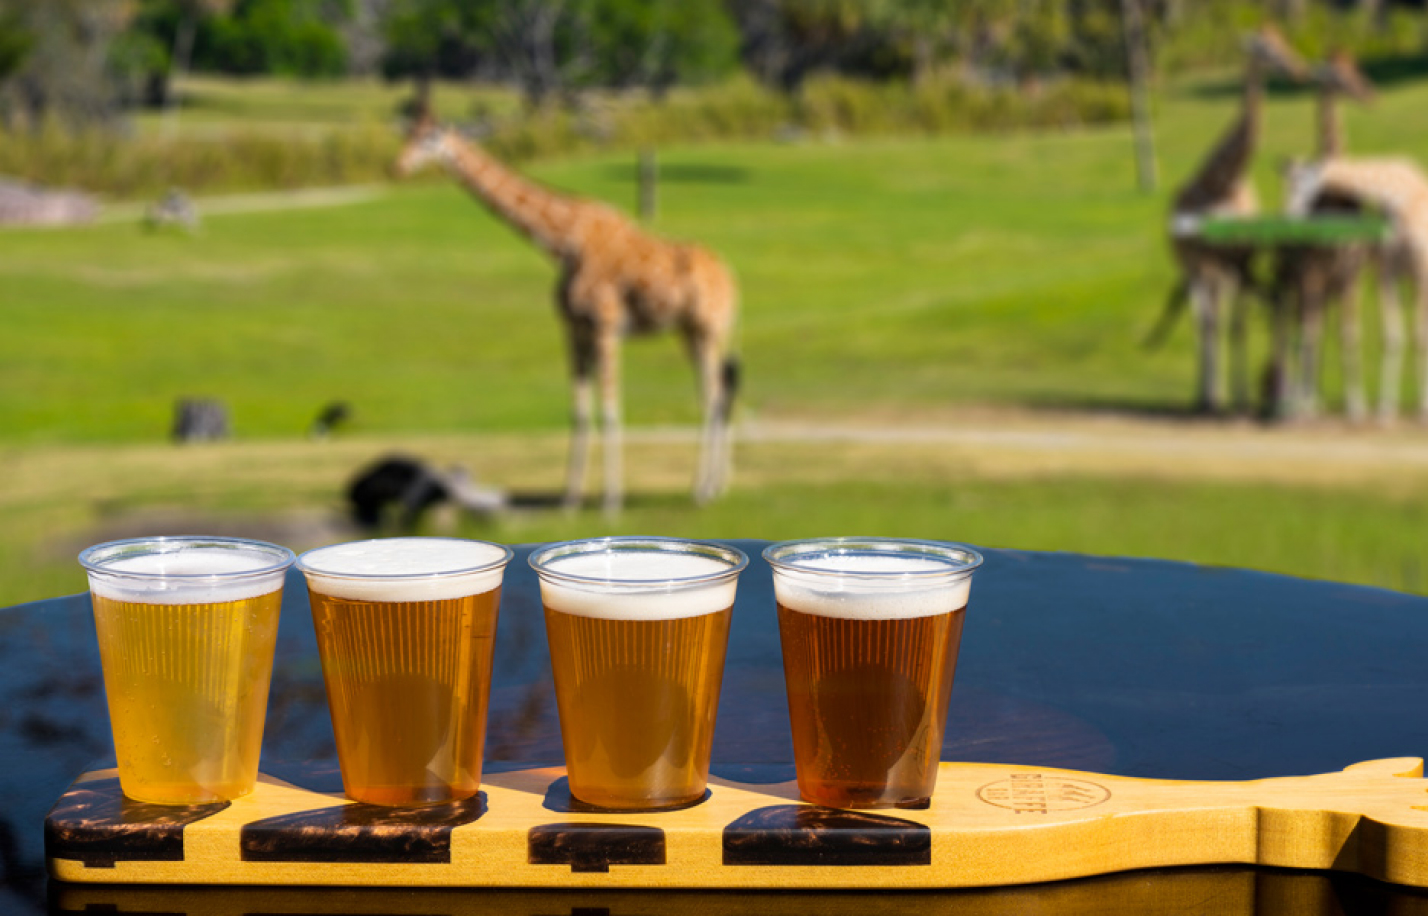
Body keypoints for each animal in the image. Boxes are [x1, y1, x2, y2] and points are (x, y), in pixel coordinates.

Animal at [396, 110, 739, 513]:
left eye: (429, 139)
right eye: (408, 133)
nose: (397, 166)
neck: (561, 243)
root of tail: (731, 283)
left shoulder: (606, 325)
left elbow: (609, 410)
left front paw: (610, 503)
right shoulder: (574, 327)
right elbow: (578, 410)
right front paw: (570, 499)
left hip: (708, 328)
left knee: (715, 396)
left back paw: (703, 491)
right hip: (690, 332)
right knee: (715, 393)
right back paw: (713, 485)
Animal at [1165, 24, 1307, 415]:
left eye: (1283, 40)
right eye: (1262, 47)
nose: (1296, 68)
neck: (1222, 181)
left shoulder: (1239, 256)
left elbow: (1234, 325)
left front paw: (1236, 399)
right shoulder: (1204, 257)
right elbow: (1209, 323)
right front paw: (1211, 398)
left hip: (1222, 269)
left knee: (1220, 315)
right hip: (1194, 265)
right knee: (1202, 319)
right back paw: (1204, 395)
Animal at [1286, 157, 1428, 421]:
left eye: (1309, 191)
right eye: (1286, 184)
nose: (1290, 219)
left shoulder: (1418, 274)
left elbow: (1417, 336)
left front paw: (1420, 406)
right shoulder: (1387, 271)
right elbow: (1392, 336)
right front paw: (1385, 408)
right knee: (1308, 331)